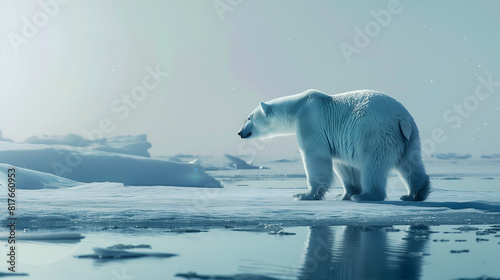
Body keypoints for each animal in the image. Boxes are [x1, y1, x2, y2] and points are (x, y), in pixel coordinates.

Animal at [238, 89, 430, 201]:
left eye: (249, 118)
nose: (240, 132)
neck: (298, 107)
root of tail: (402, 118)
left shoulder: (310, 121)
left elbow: (315, 156)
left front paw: (305, 194)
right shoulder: (339, 138)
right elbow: (344, 165)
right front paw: (343, 194)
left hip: (375, 133)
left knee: (373, 165)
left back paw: (366, 196)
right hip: (409, 138)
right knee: (411, 164)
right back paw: (414, 194)